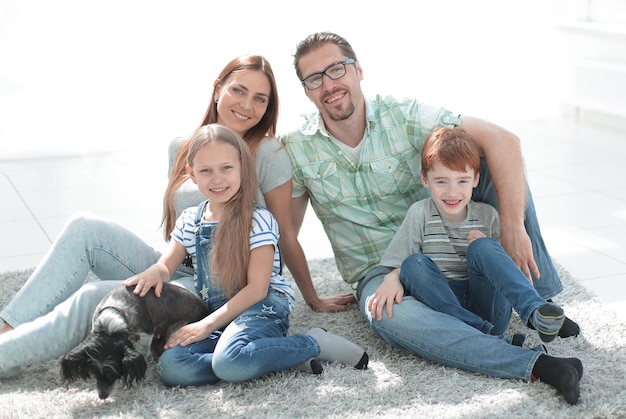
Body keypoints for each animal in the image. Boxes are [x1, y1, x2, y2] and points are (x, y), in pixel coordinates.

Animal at [60, 282, 207, 400]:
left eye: (114, 373)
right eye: (94, 373)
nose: (102, 396)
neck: (110, 323)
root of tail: (205, 308)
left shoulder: (146, 333)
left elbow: (142, 353)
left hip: (175, 330)